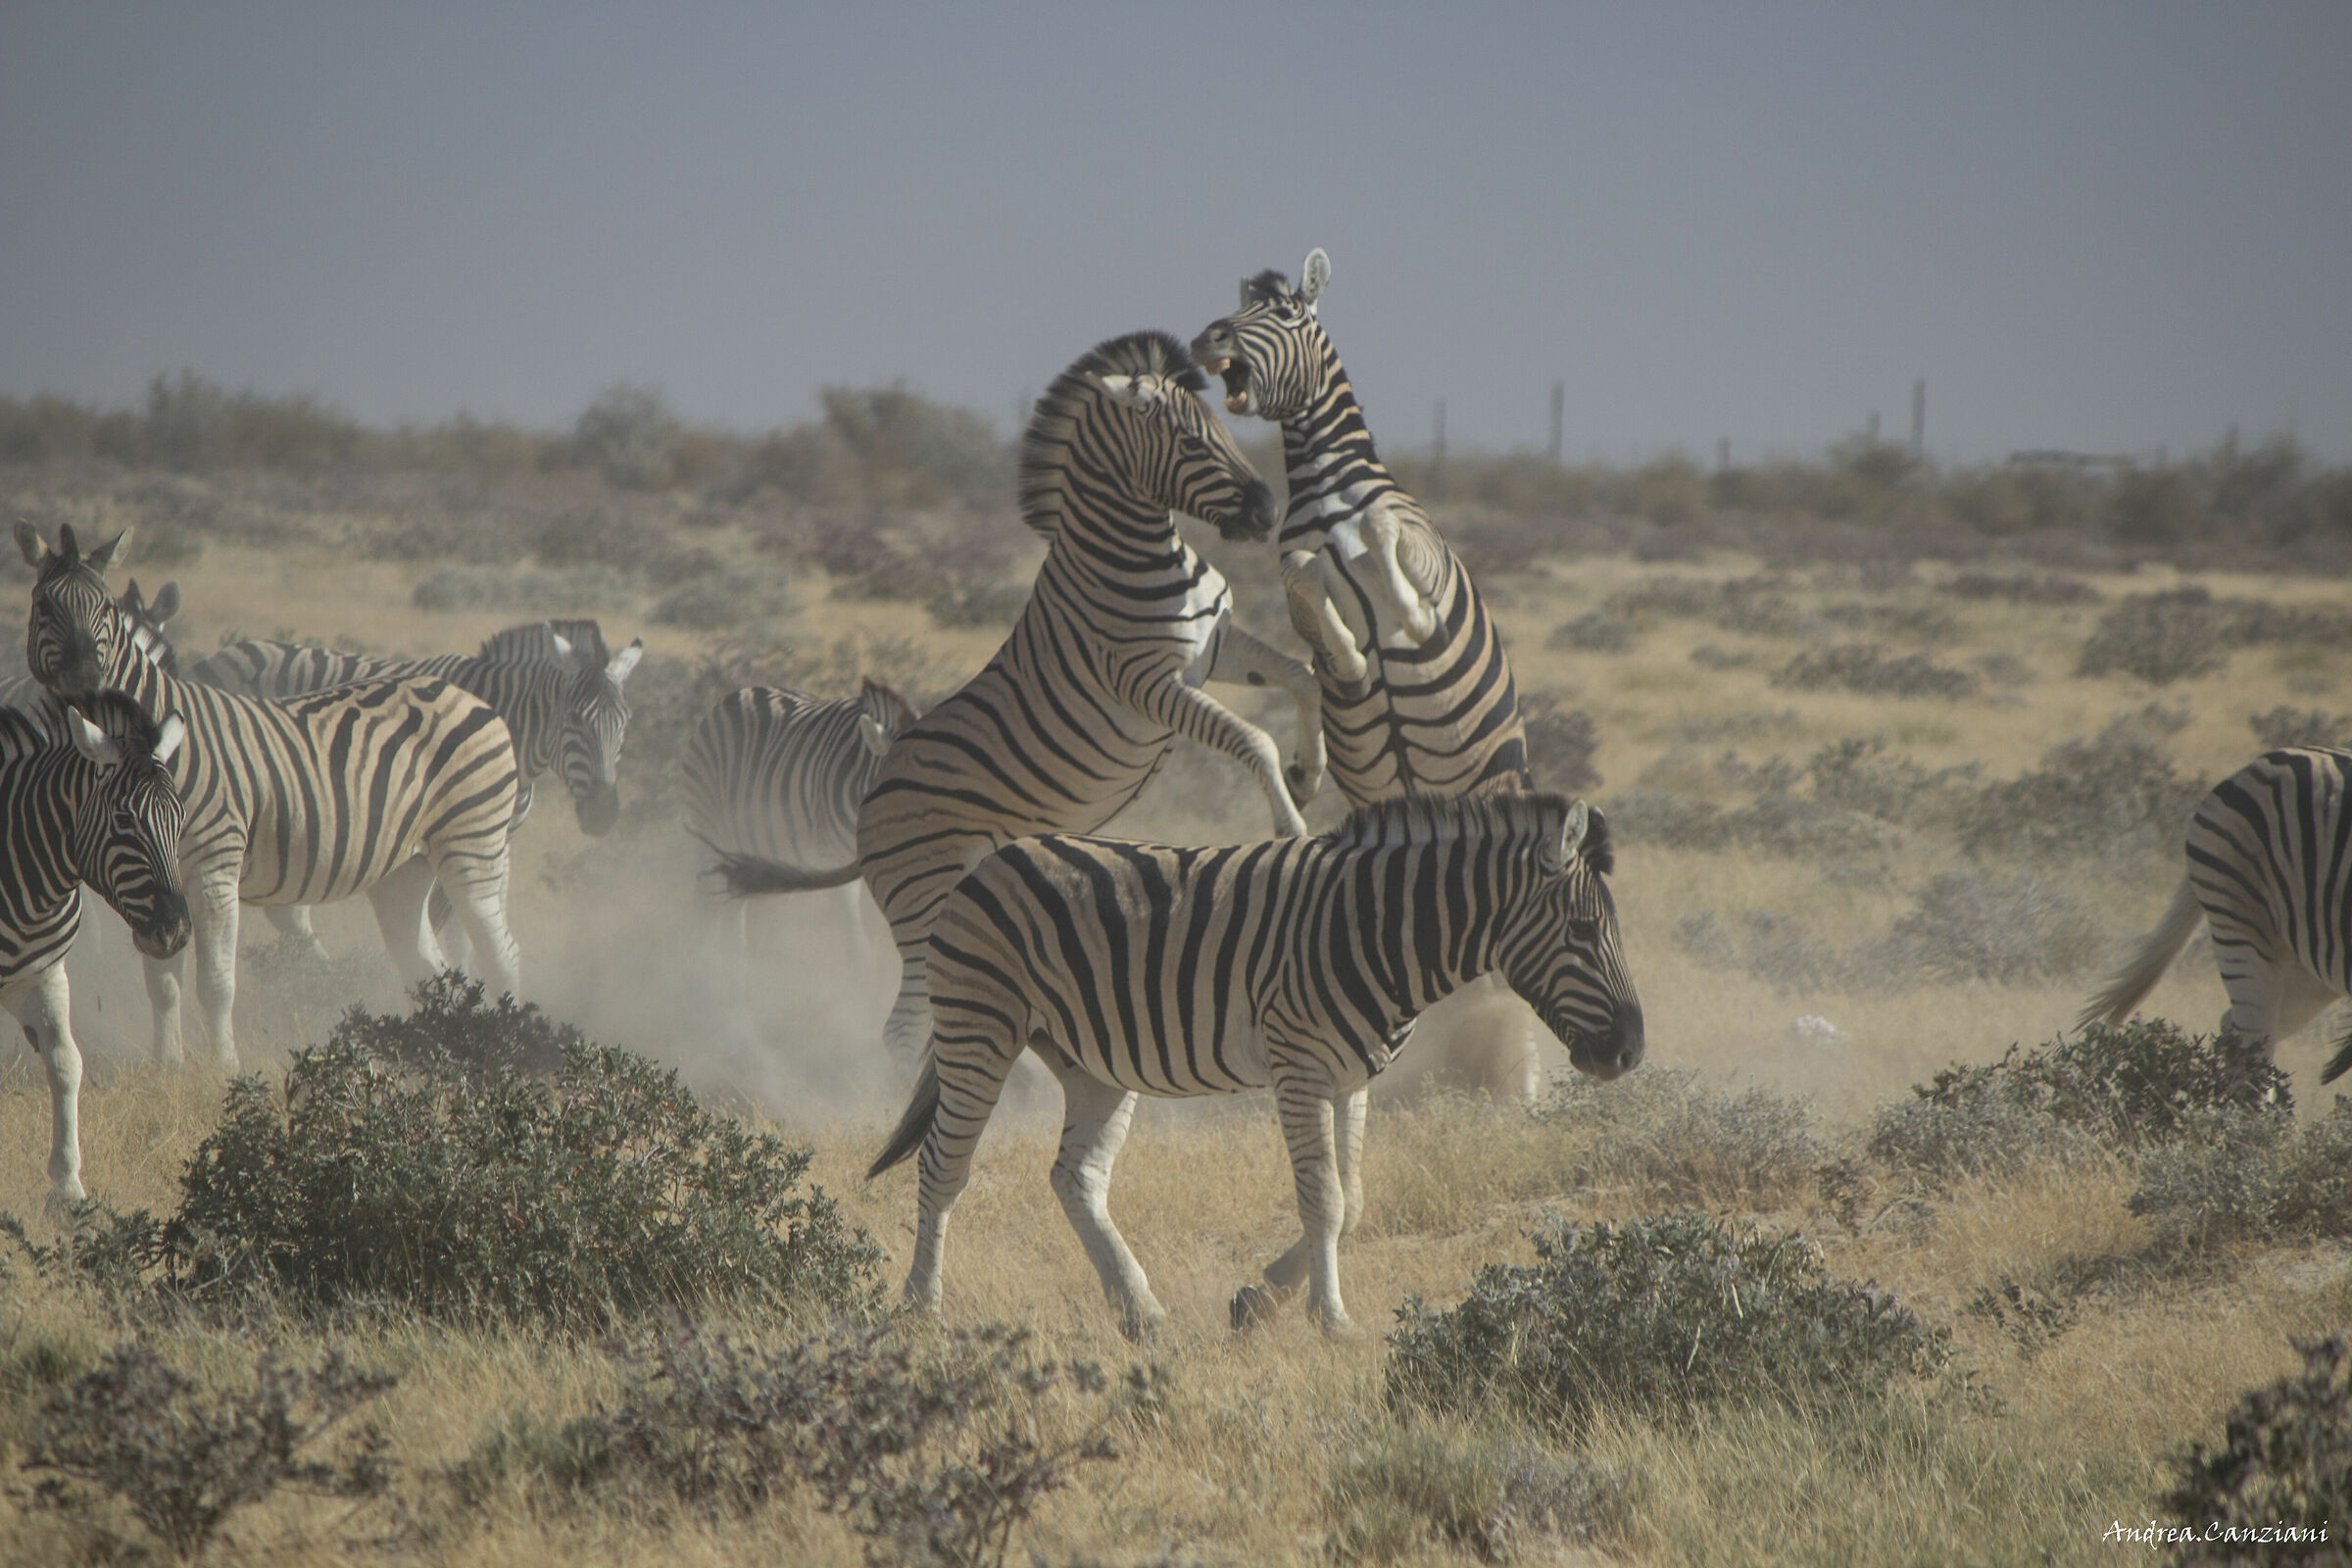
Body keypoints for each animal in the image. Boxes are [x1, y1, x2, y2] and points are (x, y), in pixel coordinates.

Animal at [0, 690, 190, 1203]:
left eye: (179, 819)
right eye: (124, 819)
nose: (175, 932)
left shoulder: (41, 975)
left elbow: (67, 1063)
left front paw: (68, 1186)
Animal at [18, 522, 524, 1068]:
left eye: (106, 608)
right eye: (43, 604)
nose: (85, 678)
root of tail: (472, 697)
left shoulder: (213, 868)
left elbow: (216, 984)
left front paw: (224, 1068)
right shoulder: (155, 879)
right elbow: (164, 984)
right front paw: (168, 1064)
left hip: (472, 845)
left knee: (503, 956)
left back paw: (508, 1044)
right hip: (403, 872)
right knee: (429, 968)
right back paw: (436, 1051)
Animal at [709, 330, 1327, 1064]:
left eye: (1223, 426)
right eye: (1186, 438)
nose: (1267, 512)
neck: (1135, 557)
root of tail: (871, 793)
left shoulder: (1218, 647)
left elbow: (1302, 675)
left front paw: (1310, 773)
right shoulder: (1146, 682)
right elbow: (1250, 737)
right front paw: (1292, 830)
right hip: (925, 905)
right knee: (905, 1025)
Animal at [868, 791, 1642, 1338]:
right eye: (1582, 931)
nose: (1631, 1050)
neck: (1380, 930)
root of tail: (998, 856)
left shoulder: (1351, 1080)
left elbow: (1353, 1202)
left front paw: (1257, 1301)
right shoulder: (1300, 1066)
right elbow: (1325, 1199)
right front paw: (1331, 1320)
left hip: (1091, 1061)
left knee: (1075, 1177)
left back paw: (1139, 1309)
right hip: (980, 1023)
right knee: (943, 1166)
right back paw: (922, 1308)